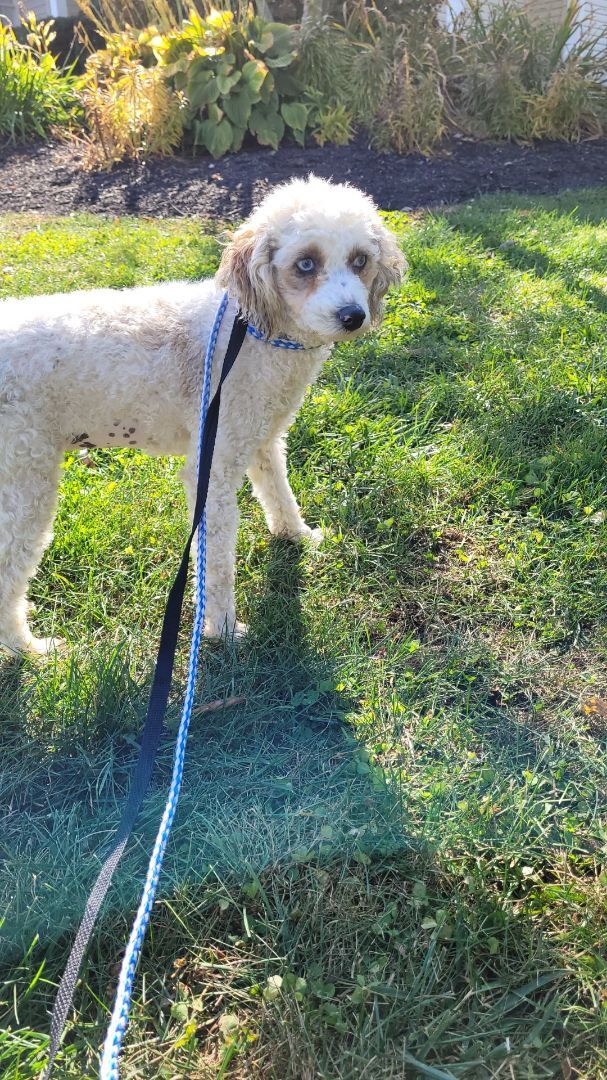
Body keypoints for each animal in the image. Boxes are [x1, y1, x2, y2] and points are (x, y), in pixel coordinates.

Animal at [1, 174, 406, 656]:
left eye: (361, 260)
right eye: (306, 264)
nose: (353, 316)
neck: (254, 329)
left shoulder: (261, 437)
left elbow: (279, 492)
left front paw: (298, 536)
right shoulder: (211, 469)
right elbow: (216, 562)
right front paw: (223, 628)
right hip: (25, 482)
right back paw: (26, 648)